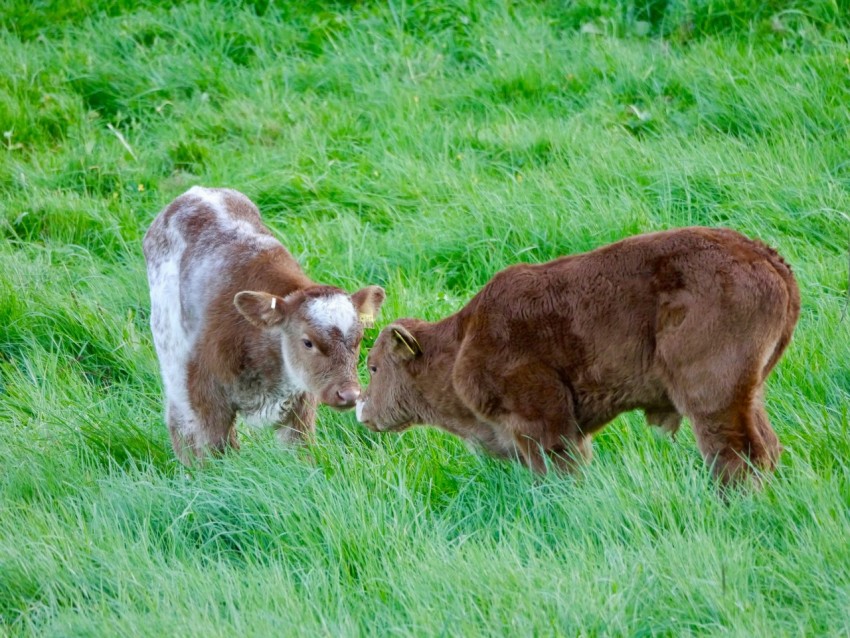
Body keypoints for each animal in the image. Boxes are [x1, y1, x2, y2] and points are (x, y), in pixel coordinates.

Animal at [143, 186, 385, 464]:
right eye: (307, 342)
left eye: (358, 341)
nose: (349, 395)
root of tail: (196, 191)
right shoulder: (206, 399)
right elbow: (216, 455)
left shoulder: (299, 406)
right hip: (173, 358)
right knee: (179, 423)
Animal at [356, 227, 800, 487]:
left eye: (374, 367)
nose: (362, 409)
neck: (463, 343)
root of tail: (767, 257)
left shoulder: (543, 420)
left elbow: (560, 467)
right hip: (749, 390)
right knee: (765, 445)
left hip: (712, 394)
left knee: (736, 450)